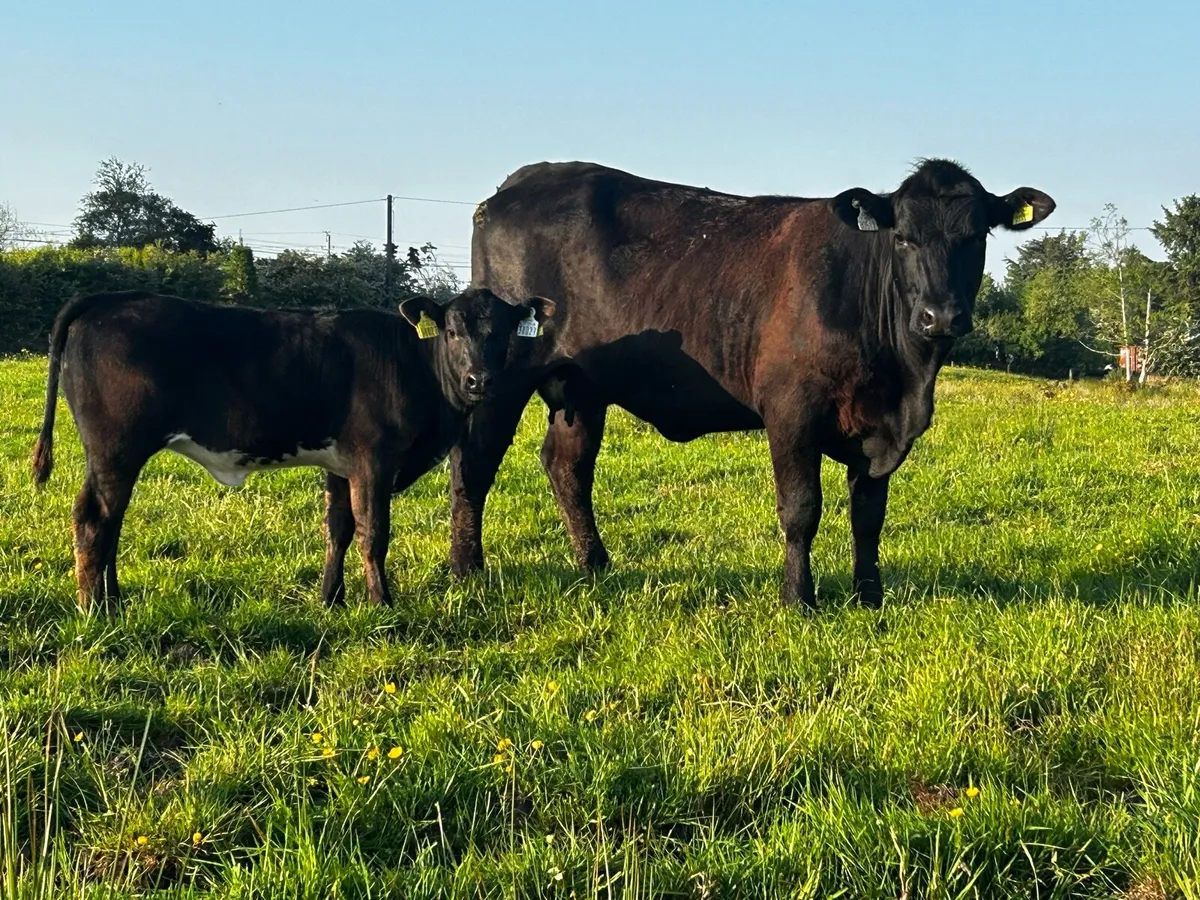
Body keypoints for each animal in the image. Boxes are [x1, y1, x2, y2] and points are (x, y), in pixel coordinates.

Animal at [31, 287, 557, 610]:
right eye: (451, 330)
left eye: (503, 333)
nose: (480, 381)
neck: (418, 367)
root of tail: (110, 298)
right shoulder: (374, 459)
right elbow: (373, 532)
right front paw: (382, 603)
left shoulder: (340, 463)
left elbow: (338, 528)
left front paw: (331, 599)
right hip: (116, 448)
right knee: (93, 518)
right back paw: (95, 610)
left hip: (116, 456)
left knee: (111, 522)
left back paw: (114, 600)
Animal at [453, 158, 1055, 608]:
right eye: (903, 238)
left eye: (975, 236)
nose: (940, 316)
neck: (904, 378)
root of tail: (517, 184)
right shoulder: (791, 412)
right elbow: (801, 509)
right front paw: (798, 600)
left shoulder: (877, 430)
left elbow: (868, 517)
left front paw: (869, 597)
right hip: (498, 375)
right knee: (474, 463)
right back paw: (466, 570)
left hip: (580, 386)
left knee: (567, 466)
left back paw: (595, 566)